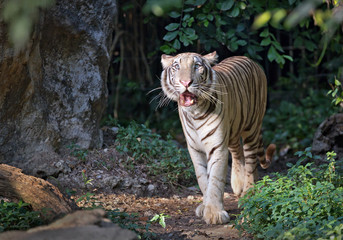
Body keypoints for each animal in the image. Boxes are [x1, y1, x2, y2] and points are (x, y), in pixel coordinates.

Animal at [161, 51, 276, 225]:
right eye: (176, 67)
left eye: (197, 66)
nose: (186, 82)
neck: (195, 113)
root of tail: (249, 59)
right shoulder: (194, 148)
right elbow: (203, 178)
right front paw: (205, 206)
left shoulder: (217, 147)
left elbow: (215, 179)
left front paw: (214, 213)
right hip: (233, 131)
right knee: (237, 153)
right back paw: (238, 184)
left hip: (251, 129)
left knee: (250, 162)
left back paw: (248, 192)